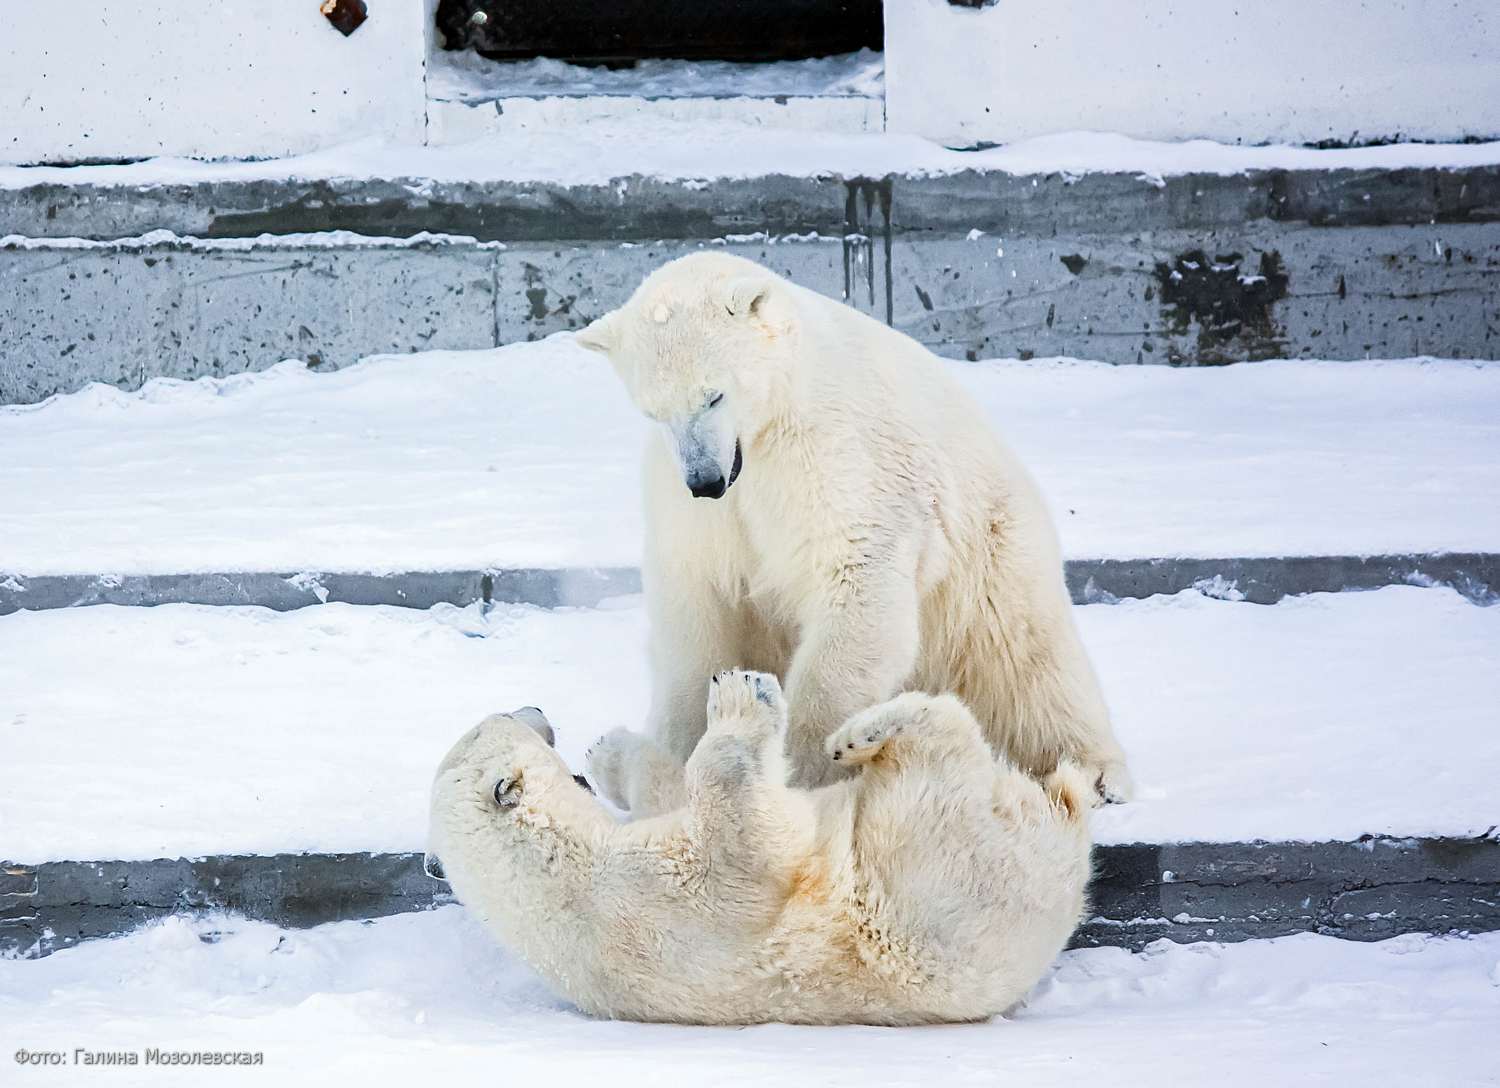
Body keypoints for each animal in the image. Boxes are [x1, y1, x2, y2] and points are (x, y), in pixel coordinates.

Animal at [423, 669, 1092, 1026]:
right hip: (938, 874)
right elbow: (743, 834)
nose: (536, 707)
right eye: (510, 718)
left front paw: (608, 752)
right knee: (939, 751)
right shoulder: (657, 903)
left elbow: (672, 792)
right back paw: (861, 735)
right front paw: (743, 691)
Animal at [579, 250, 1128, 804]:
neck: (766, 428)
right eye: (654, 409)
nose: (705, 480)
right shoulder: (691, 507)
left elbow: (856, 572)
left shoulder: (836, 451)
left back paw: (1098, 772)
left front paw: (797, 763)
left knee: (1026, 657)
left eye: (713, 396)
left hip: (988, 550)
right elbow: (696, 601)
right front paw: (682, 740)